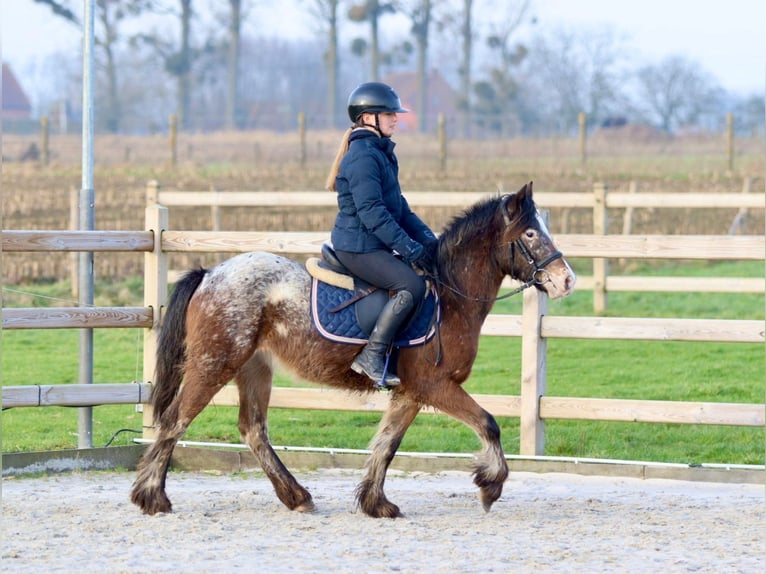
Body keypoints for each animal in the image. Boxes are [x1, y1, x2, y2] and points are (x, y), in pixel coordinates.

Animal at [130, 182, 576, 520]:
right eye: (531, 234)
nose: (566, 280)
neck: (448, 297)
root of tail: (210, 275)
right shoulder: (435, 386)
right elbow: (488, 423)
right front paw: (489, 485)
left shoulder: (410, 392)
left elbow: (387, 445)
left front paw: (376, 504)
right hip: (213, 365)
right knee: (175, 421)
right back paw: (152, 497)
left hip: (254, 368)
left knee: (253, 429)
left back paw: (296, 497)